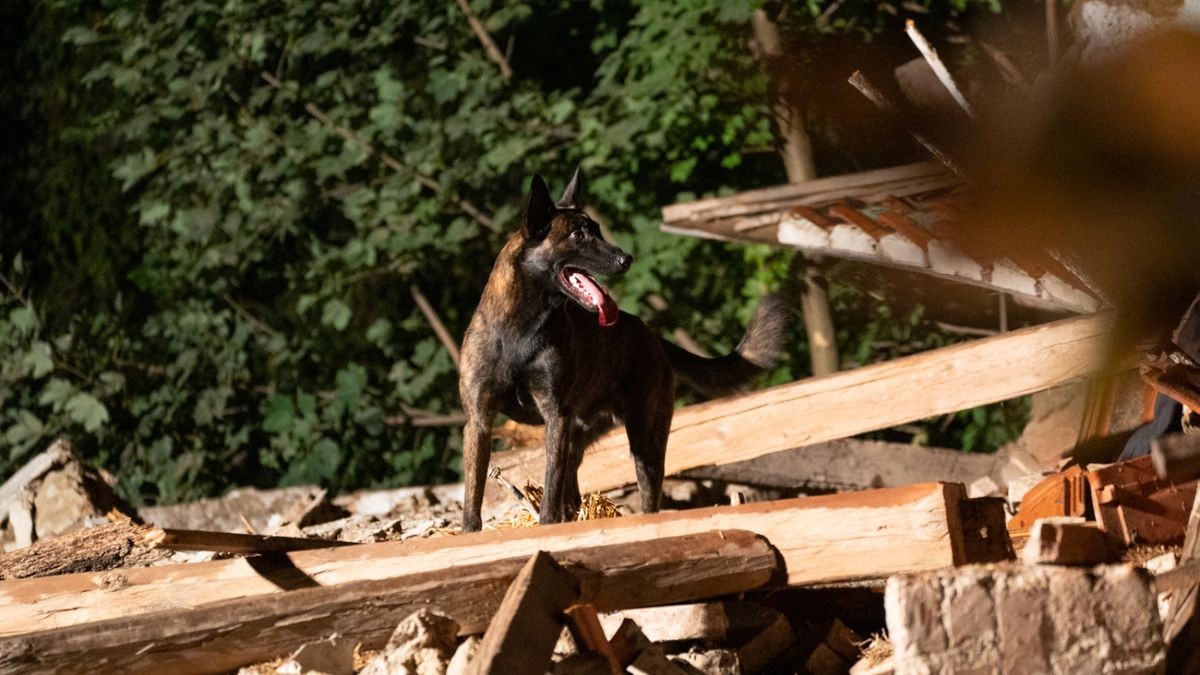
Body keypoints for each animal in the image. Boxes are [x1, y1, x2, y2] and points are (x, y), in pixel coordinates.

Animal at [458, 168, 787, 530]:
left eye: (598, 231)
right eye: (577, 235)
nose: (626, 259)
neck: (521, 329)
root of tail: (651, 336)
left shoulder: (555, 416)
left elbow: (550, 485)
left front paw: (547, 525)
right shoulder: (480, 421)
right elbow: (474, 491)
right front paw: (470, 533)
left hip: (644, 441)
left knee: (645, 494)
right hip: (581, 437)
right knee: (571, 487)